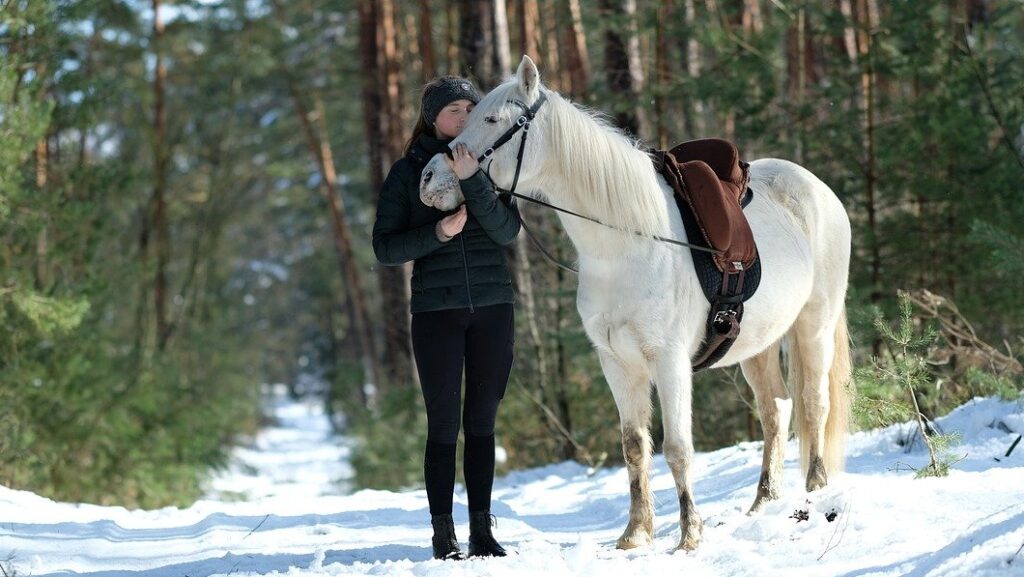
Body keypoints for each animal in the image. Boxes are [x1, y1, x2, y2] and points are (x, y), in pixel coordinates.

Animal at [419, 55, 852, 551]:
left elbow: (678, 448)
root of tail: (819, 189)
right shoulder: (617, 362)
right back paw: (764, 502)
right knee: (776, 409)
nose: (429, 178)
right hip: (757, 344)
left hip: (814, 325)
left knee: (814, 403)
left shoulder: (669, 361)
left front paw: (689, 536)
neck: (626, 243)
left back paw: (816, 492)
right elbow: (634, 446)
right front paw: (635, 533)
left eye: (491, 120)